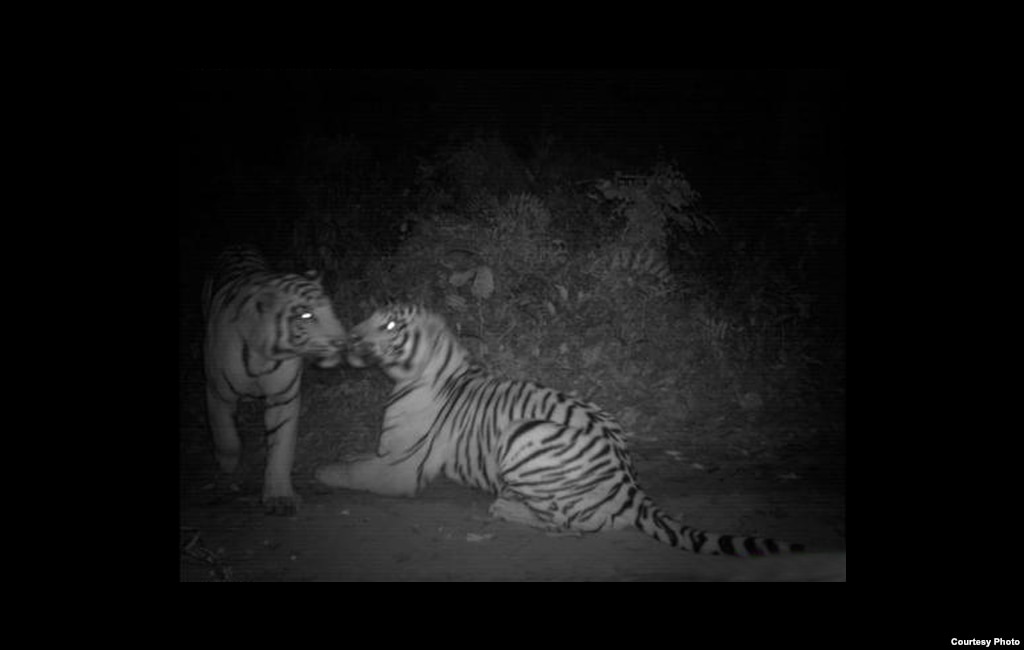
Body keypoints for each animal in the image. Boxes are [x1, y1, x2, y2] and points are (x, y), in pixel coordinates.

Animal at [203, 245, 346, 515]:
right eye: (307, 315)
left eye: (330, 309)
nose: (344, 341)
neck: (263, 358)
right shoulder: (217, 393)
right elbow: (226, 436)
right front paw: (228, 464)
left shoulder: (283, 398)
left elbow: (281, 449)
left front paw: (279, 497)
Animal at [316, 303, 804, 556]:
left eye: (390, 324)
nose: (349, 337)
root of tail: (630, 483)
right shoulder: (387, 457)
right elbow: (352, 459)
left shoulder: (399, 468)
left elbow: (349, 470)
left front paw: (316, 473)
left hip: (523, 435)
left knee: (567, 525)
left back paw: (504, 507)